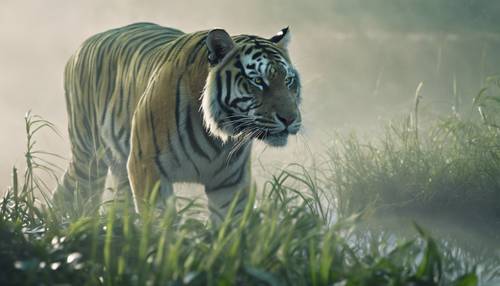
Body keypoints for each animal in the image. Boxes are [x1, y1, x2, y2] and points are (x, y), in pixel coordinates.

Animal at [54, 22, 302, 220]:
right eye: (258, 81)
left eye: (288, 80)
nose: (289, 118)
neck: (218, 138)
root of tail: (84, 44)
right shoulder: (146, 166)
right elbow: (160, 225)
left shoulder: (230, 182)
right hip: (89, 158)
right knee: (71, 194)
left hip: (118, 164)